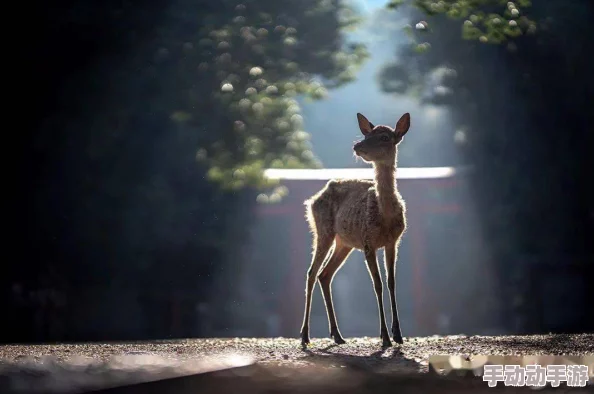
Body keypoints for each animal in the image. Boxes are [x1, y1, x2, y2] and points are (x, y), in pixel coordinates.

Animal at [298, 111, 410, 348]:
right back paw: (305, 335)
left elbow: (391, 283)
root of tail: (312, 200)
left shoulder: (393, 241)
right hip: (323, 230)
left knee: (325, 274)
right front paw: (384, 337)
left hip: (345, 242)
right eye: (367, 134)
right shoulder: (368, 242)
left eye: (385, 137)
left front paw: (398, 335)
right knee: (312, 272)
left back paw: (337, 335)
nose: (358, 145)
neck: (385, 216)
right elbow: (377, 284)